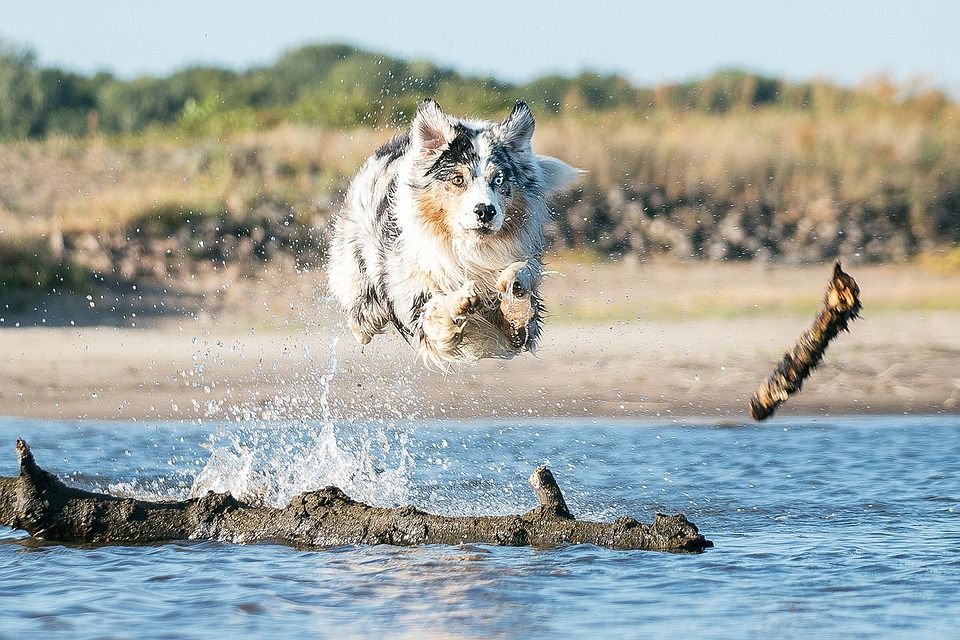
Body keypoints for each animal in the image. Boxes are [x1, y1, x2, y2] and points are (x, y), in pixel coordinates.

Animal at [326, 101, 576, 364]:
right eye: (457, 179)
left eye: (498, 179)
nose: (485, 211)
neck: (469, 250)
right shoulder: (416, 306)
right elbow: (435, 310)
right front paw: (460, 301)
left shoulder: (519, 333)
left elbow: (519, 288)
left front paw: (514, 284)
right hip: (359, 284)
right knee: (362, 322)